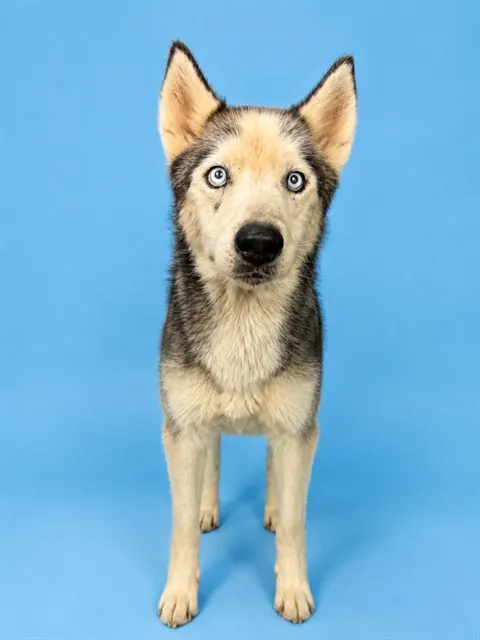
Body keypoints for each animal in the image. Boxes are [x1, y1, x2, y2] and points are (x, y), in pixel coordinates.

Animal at [156, 41, 357, 627]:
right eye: (218, 176)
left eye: (295, 180)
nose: (260, 242)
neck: (243, 325)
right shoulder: (181, 427)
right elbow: (180, 522)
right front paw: (180, 593)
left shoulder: (298, 427)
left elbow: (294, 519)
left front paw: (292, 589)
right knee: (213, 456)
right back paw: (207, 505)